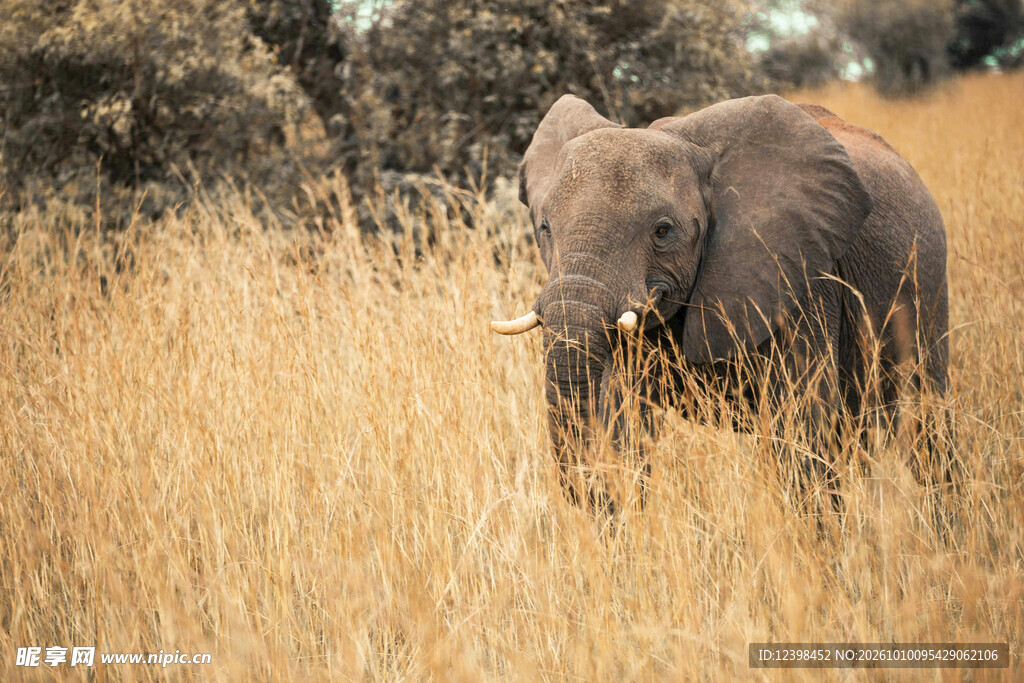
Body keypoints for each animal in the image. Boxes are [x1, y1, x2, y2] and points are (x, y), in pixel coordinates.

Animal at [491, 93, 949, 508]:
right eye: (546, 228)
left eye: (662, 231)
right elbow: (621, 422)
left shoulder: (802, 275)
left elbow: (803, 427)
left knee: (928, 426)